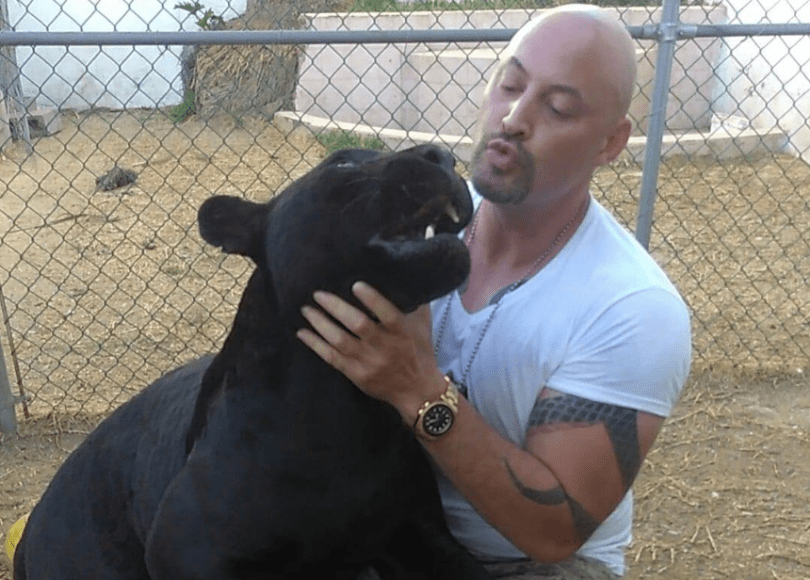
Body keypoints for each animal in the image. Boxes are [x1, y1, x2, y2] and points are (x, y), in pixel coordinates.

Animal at [15, 144, 491, 580]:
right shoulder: (188, 553)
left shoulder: (418, 529)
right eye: (342, 162)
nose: (443, 155)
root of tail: (30, 532)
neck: (344, 407)